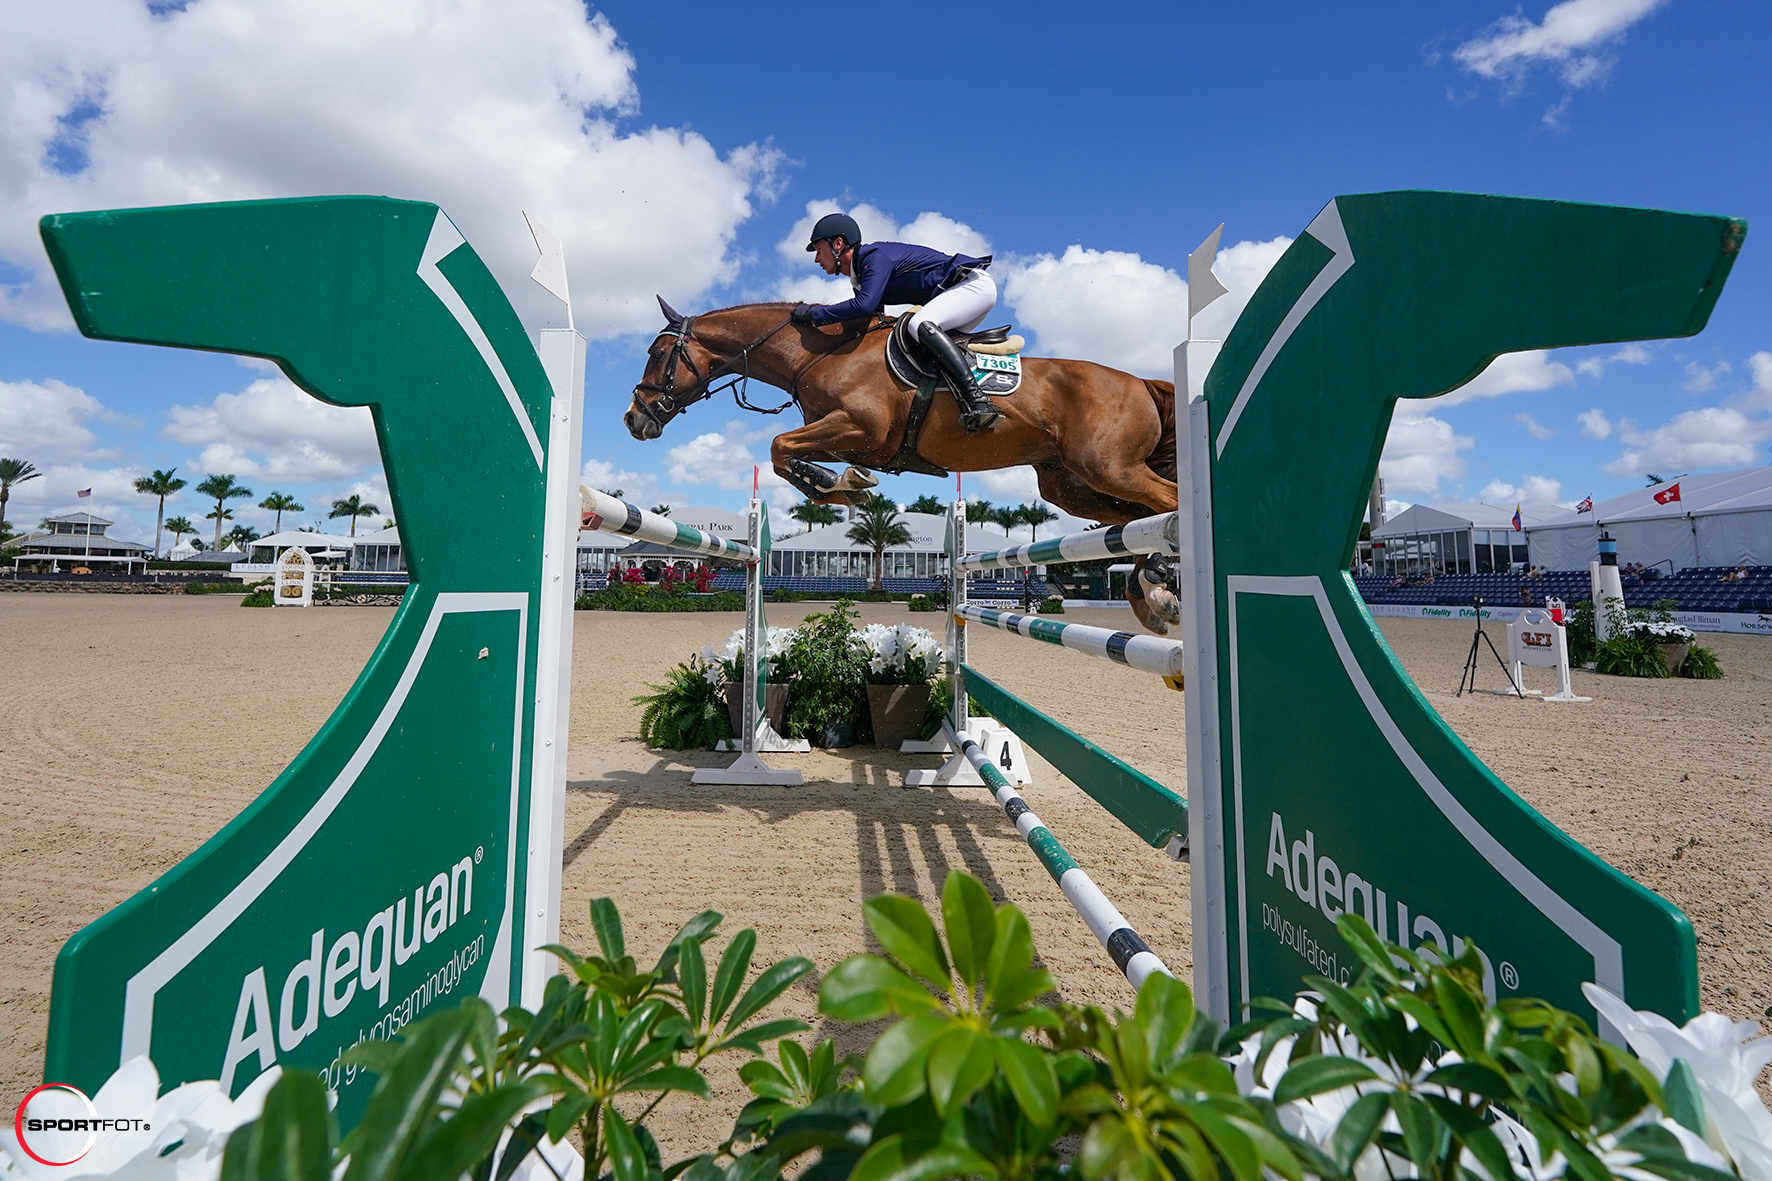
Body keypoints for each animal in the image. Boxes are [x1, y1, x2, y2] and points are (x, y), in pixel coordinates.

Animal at [625, 299, 1182, 634]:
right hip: (1071, 485)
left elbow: (780, 446)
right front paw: (840, 485)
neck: (820, 353)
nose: (633, 419)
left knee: (1169, 506)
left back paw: (1160, 583)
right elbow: (787, 454)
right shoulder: (847, 436)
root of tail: (1140, 382)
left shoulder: (860, 428)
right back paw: (1149, 594)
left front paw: (839, 485)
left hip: (1108, 467)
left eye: (657, 352)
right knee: (1137, 519)